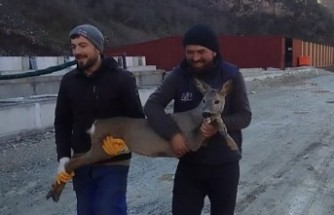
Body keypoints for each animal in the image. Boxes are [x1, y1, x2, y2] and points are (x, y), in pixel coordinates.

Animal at [47, 78, 239, 202]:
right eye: (204, 100)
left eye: (217, 101)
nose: (206, 113)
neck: (195, 117)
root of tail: (96, 123)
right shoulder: (190, 140)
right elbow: (216, 122)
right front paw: (233, 145)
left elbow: (217, 121)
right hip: (101, 148)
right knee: (73, 162)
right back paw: (55, 192)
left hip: (98, 148)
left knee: (73, 158)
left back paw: (54, 190)